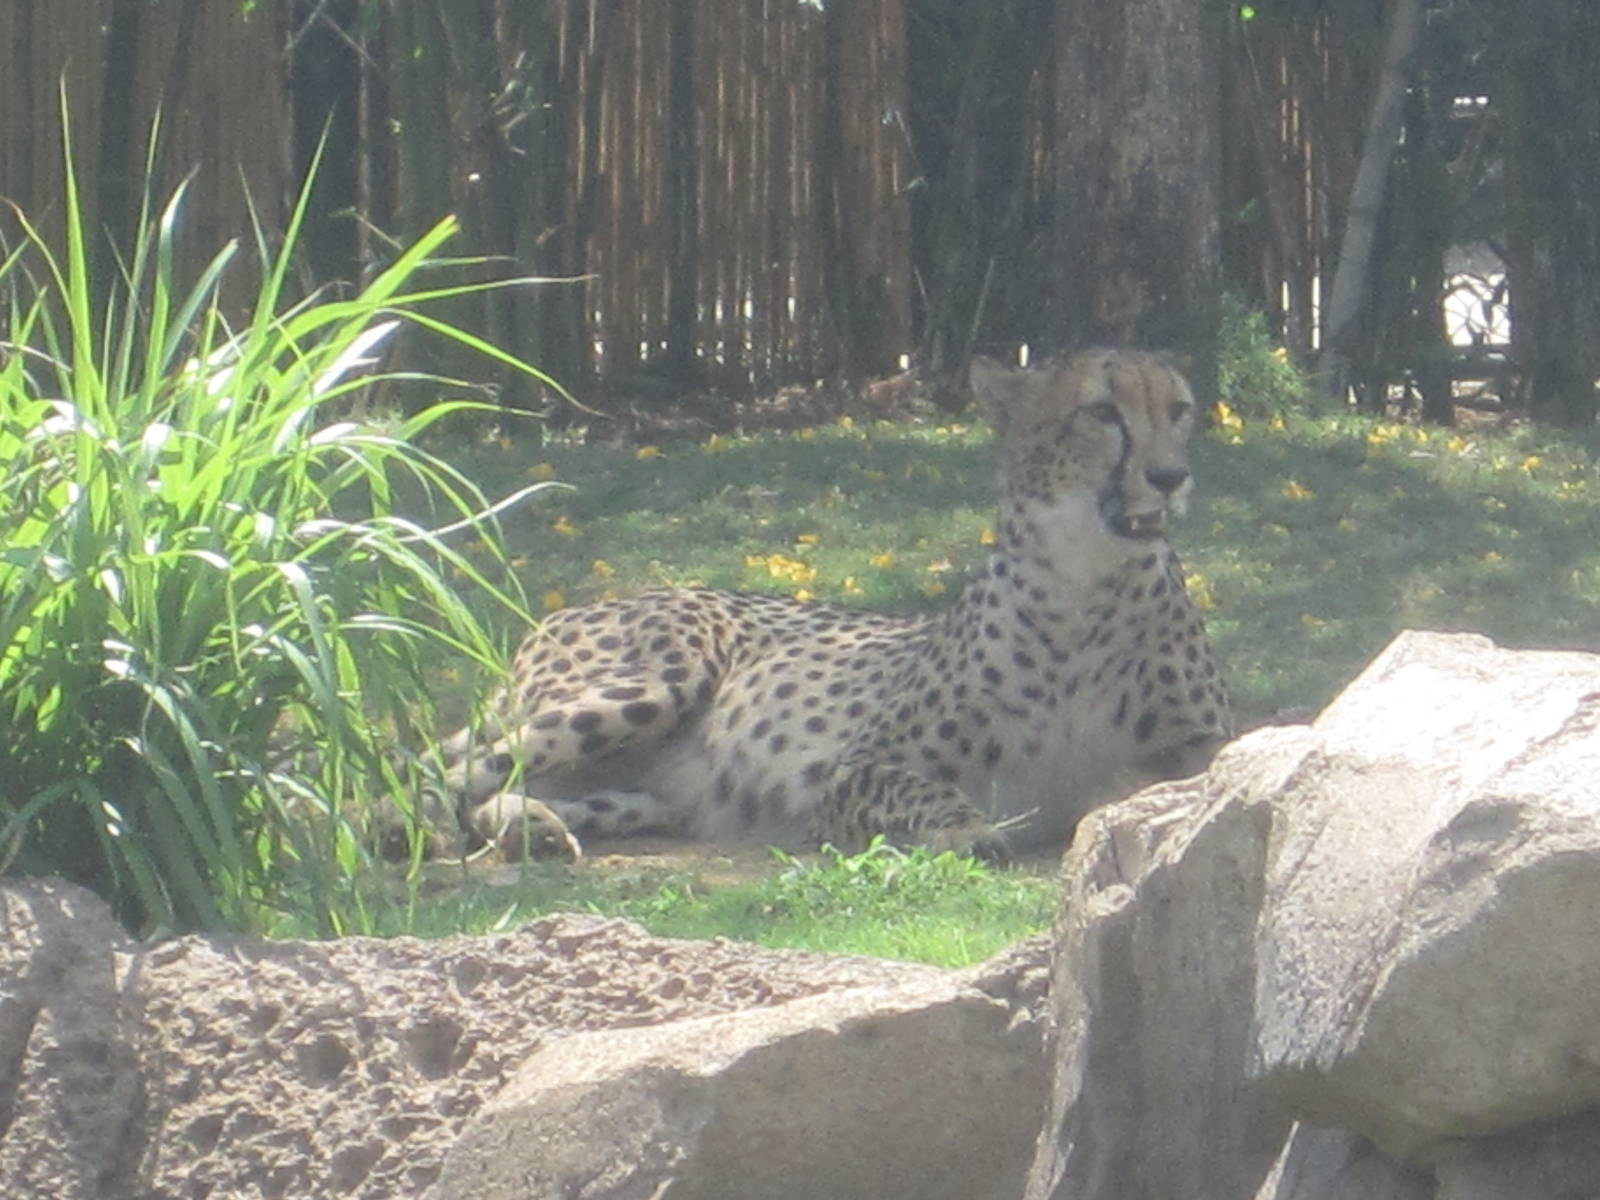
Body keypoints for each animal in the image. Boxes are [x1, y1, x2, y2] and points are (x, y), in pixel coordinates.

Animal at [401, 348, 1231, 864]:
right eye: (1103, 412)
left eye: (1180, 409)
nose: (1171, 477)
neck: (1087, 584)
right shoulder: (856, 769)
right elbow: (919, 790)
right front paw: (967, 831)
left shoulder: (1198, 749)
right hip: (650, 684)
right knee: (436, 778)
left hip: (646, 791)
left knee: (498, 791)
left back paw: (535, 827)